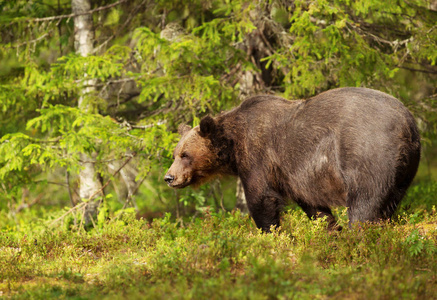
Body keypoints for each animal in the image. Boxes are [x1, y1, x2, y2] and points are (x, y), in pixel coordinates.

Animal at [164, 86, 418, 232]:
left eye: (185, 155)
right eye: (175, 153)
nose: (169, 177)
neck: (233, 145)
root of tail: (408, 122)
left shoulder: (258, 156)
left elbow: (261, 199)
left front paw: (271, 235)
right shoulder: (295, 176)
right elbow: (314, 207)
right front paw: (330, 231)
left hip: (367, 154)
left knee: (364, 204)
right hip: (402, 173)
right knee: (387, 204)